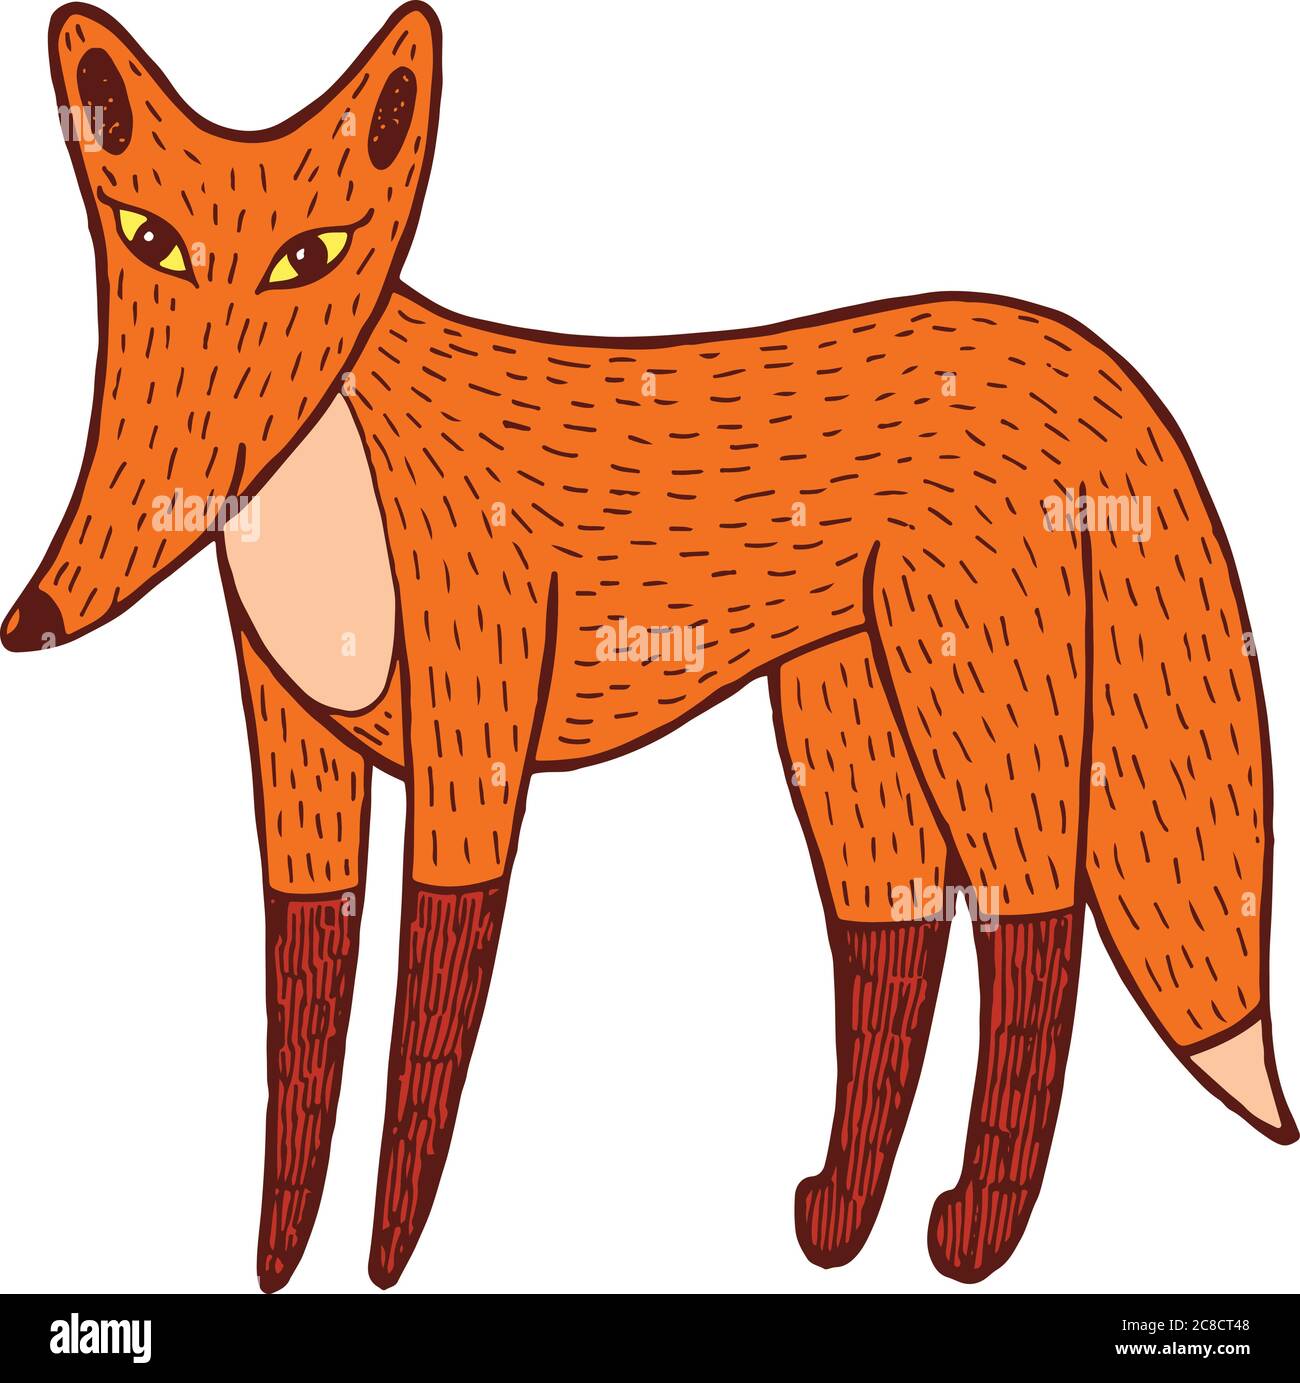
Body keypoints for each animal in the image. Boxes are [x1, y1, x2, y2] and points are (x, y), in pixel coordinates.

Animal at [4, 2, 1293, 1292]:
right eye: (151, 241)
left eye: (309, 256)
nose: (30, 620)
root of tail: (1082, 351)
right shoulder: (298, 755)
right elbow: (299, 1040)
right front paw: (277, 1258)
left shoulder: (473, 739)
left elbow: (422, 1041)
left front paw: (385, 1255)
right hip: (843, 721)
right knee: (896, 931)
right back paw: (843, 1215)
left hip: (977, 703)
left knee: (1036, 926)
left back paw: (979, 1225)